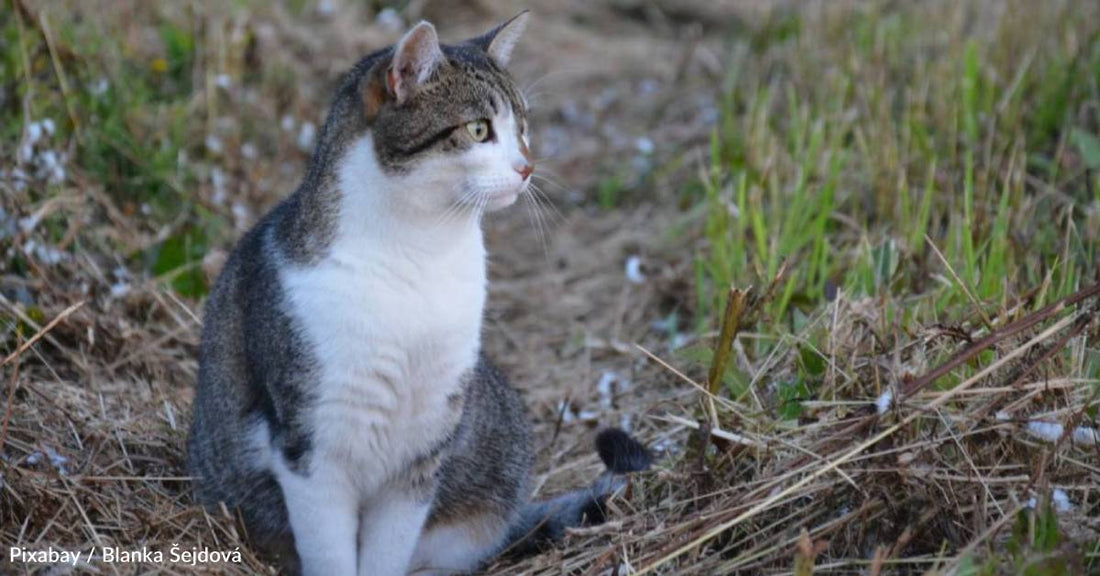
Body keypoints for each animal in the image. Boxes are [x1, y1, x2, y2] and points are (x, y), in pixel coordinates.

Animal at [185, 13, 646, 576]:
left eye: (523, 127)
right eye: (478, 129)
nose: (527, 167)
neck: (420, 257)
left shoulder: (424, 446)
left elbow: (389, 549)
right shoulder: (311, 445)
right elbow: (330, 551)